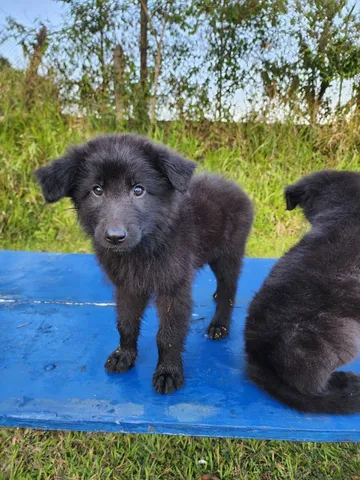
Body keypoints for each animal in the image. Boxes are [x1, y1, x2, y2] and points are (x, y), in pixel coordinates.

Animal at [34, 134, 253, 394]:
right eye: (97, 190)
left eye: (138, 190)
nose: (115, 237)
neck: (144, 247)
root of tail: (235, 187)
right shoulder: (126, 287)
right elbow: (126, 323)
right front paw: (124, 355)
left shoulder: (173, 288)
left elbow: (168, 335)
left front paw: (168, 372)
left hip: (228, 254)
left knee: (229, 288)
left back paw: (220, 324)